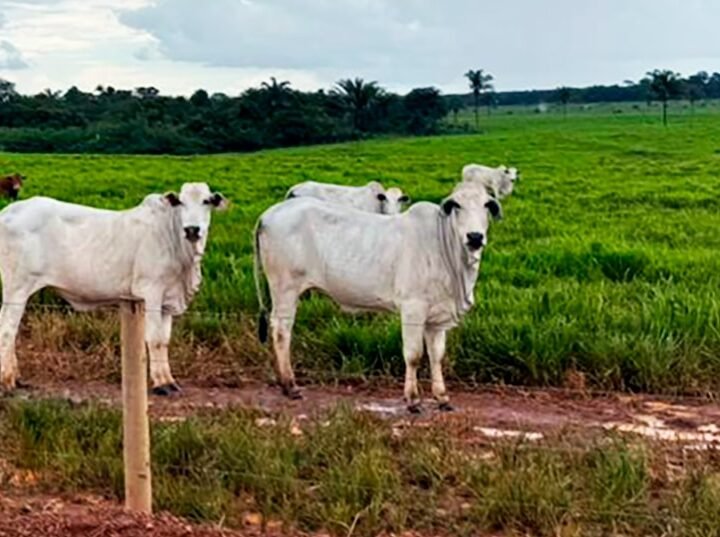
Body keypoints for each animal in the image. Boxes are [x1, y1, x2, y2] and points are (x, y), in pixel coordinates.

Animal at [0, 182, 227, 395]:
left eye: (206, 201)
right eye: (181, 202)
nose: (192, 229)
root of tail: (8, 211)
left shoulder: (168, 300)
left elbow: (164, 341)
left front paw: (168, 380)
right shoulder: (151, 291)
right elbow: (154, 339)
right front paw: (161, 384)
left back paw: (16, 377)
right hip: (17, 287)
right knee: (7, 329)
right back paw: (7, 380)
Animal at [254, 182, 502, 412]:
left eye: (487, 205)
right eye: (457, 205)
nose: (475, 236)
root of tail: (268, 215)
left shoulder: (437, 317)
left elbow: (436, 355)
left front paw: (442, 397)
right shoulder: (413, 308)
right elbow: (413, 354)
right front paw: (412, 399)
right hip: (285, 288)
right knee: (281, 331)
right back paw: (290, 385)